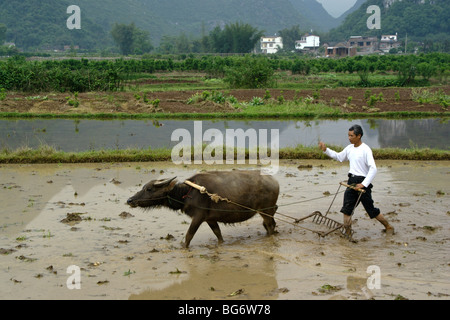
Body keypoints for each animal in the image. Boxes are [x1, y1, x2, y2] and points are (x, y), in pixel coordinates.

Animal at [126, 170, 280, 248]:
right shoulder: (210, 219)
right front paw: (221, 243)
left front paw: (183, 247)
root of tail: (274, 182)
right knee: (268, 224)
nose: (130, 200)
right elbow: (218, 233)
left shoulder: (198, 217)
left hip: (266, 210)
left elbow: (189, 235)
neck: (187, 193)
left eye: (149, 189)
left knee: (270, 225)